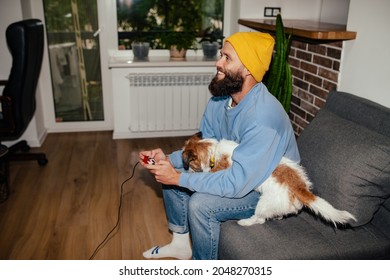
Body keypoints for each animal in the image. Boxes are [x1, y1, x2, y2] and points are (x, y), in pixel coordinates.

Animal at [182, 132, 356, 226]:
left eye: (189, 163)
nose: (186, 169)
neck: (214, 151)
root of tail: (299, 187)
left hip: (263, 204)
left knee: (259, 219)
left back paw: (245, 221)